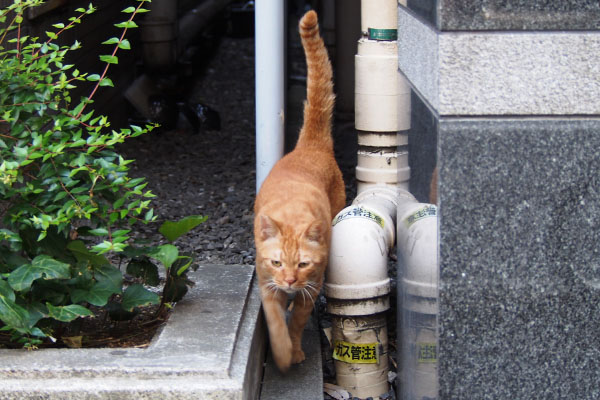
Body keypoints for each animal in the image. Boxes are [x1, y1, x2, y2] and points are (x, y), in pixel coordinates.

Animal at [253, 9, 346, 372]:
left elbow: (296, 323)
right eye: (278, 262)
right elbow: (277, 322)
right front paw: (281, 354)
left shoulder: (312, 286)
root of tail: (311, 146)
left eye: (303, 264)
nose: (291, 281)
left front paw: (293, 351)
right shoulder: (266, 284)